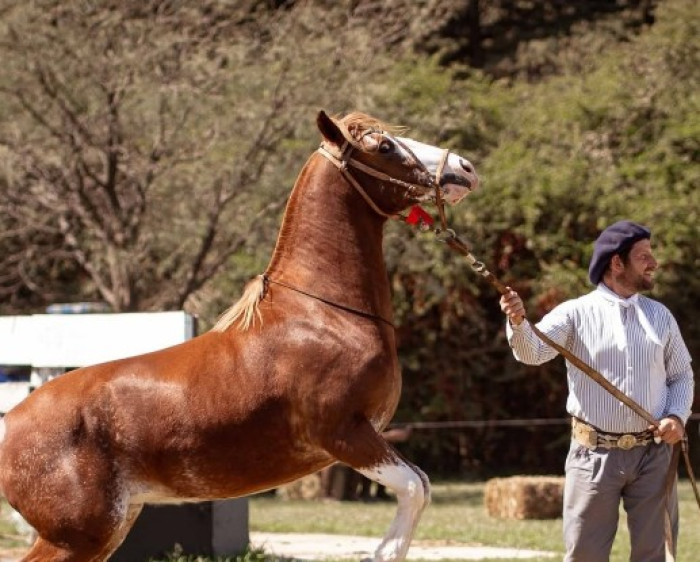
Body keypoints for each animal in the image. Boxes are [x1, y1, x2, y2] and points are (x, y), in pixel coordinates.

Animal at [0, 110, 478, 562]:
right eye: (383, 146)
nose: (465, 168)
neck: (323, 315)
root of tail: (9, 424)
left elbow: (422, 484)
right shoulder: (345, 433)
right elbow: (415, 487)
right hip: (76, 537)